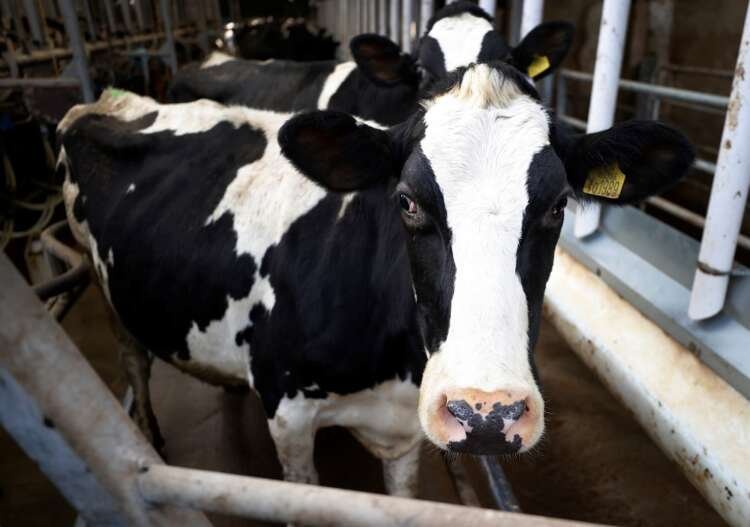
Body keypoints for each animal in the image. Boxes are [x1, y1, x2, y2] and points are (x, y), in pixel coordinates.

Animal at [58, 62, 693, 495]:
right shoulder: (289, 417)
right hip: (103, 283)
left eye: (559, 205)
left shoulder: (405, 430)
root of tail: (109, 99)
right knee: (134, 361)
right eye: (407, 201)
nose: (486, 415)